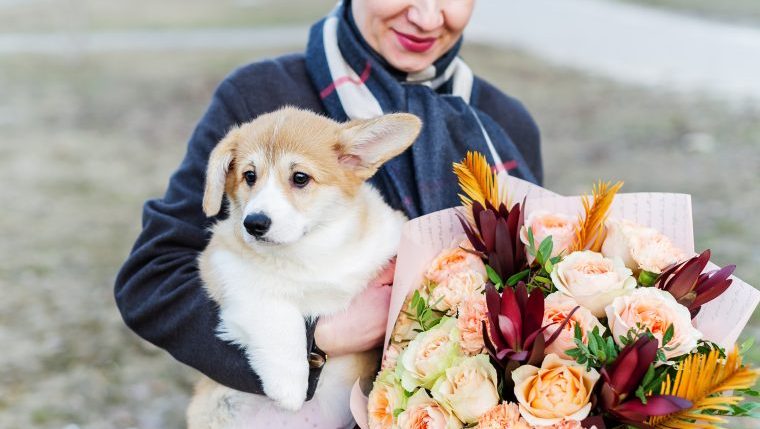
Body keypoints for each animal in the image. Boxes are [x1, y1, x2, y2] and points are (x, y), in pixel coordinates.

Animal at [185, 107, 422, 428]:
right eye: (249, 176)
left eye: (300, 178)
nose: (254, 223)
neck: (310, 250)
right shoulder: (225, 265)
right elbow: (278, 314)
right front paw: (289, 386)